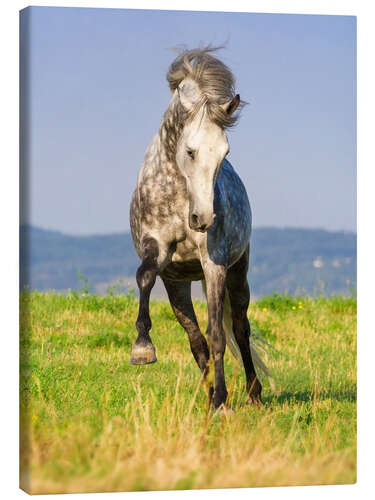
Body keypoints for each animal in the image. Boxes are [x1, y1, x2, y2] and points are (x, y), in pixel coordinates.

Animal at [131, 48, 266, 412]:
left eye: (224, 152)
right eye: (190, 150)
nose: (202, 219)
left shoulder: (214, 264)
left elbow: (218, 335)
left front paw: (221, 402)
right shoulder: (158, 250)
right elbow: (144, 276)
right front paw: (142, 348)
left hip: (237, 272)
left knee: (240, 329)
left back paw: (252, 393)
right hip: (178, 283)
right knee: (196, 341)